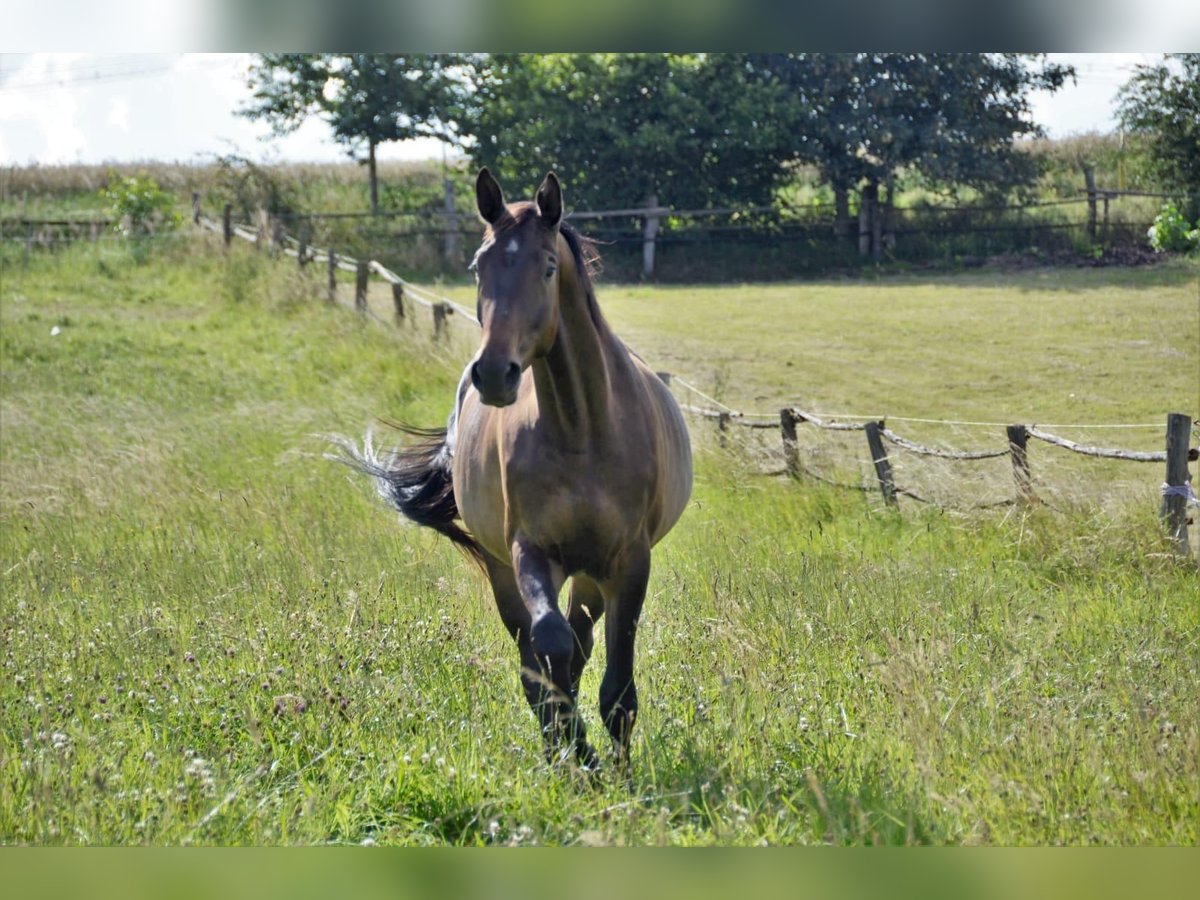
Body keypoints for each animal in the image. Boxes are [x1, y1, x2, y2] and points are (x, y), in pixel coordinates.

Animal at [338, 170, 696, 768]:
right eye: (478, 265)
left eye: (548, 266)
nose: (493, 373)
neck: (582, 430)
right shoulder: (529, 549)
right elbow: (549, 647)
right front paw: (581, 756)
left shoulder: (629, 561)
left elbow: (616, 689)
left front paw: (617, 773)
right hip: (503, 565)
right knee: (540, 655)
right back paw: (561, 753)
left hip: (590, 574)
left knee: (580, 645)